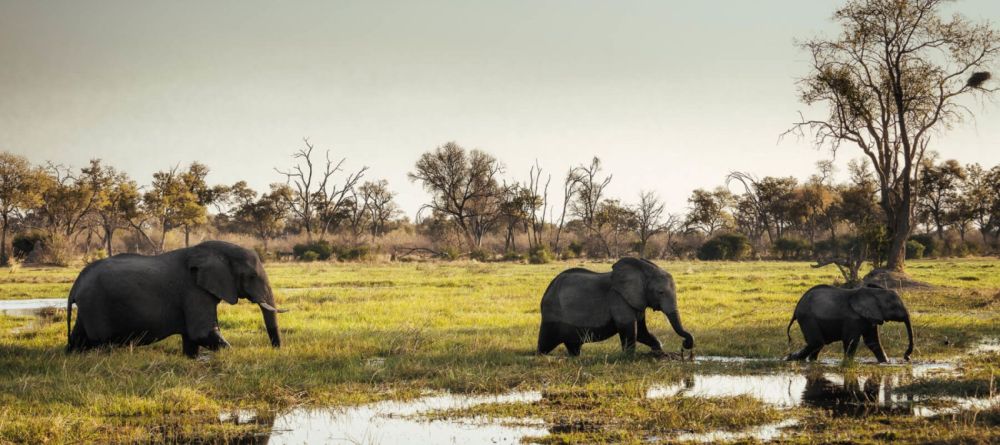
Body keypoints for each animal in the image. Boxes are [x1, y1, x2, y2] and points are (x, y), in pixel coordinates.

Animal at [67, 241, 286, 358]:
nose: (276, 350)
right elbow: (202, 333)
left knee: (79, 337)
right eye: (251, 276)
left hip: (87, 308)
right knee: (101, 343)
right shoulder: (193, 291)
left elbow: (192, 339)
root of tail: (76, 283)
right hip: (96, 306)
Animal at [537, 257, 694, 356]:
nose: (685, 344)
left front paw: (658, 352)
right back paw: (540, 356)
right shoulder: (618, 298)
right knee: (546, 342)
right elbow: (629, 328)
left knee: (573, 345)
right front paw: (629, 358)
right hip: (552, 314)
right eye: (660, 292)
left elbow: (642, 332)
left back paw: (575, 357)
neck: (644, 270)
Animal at [784, 284, 913, 363]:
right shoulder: (853, 318)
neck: (874, 292)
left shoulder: (870, 317)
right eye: (894, 307)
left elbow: (873, 342)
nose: (907, 357)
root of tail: (796, 309)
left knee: (818, 345)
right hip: (807, 318)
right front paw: (848, 364)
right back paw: (790, 359)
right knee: (817, 342)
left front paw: (886, 363)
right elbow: (851, 341)